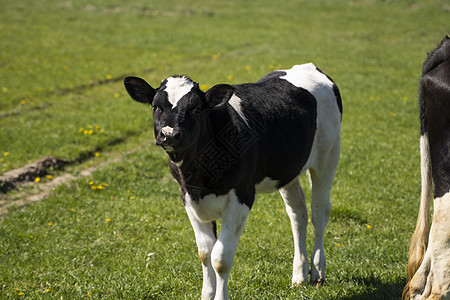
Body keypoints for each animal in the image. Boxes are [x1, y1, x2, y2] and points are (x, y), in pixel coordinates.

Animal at [123, 63, 342, 300]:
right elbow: (205, 252)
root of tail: (309, 67)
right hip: (287, 170)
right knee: (298, 213)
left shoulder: (241, 196)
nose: (170, 134)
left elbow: (220, 258)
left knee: (319, 211)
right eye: (156, 106)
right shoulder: (188, 196)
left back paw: (317, 273)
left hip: (328, 157)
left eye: (196, 108)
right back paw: (299, 276)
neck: (200, 175)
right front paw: (207, 295)